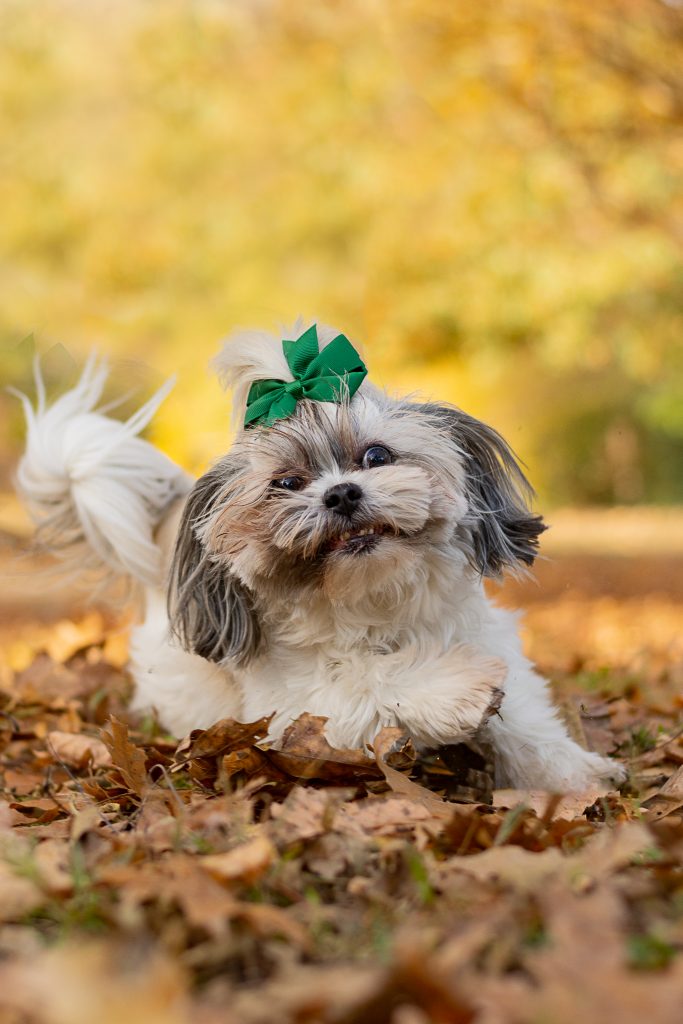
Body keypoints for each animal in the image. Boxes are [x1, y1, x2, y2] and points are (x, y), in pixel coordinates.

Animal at [15, 319, 626, 790]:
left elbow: (524, 718)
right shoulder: (297, 717)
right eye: (286, 483)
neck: (378, 604)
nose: (341, 492)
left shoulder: (490, 640)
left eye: (376, 456)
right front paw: (456, 687)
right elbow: (370, 682)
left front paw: (575, 776)